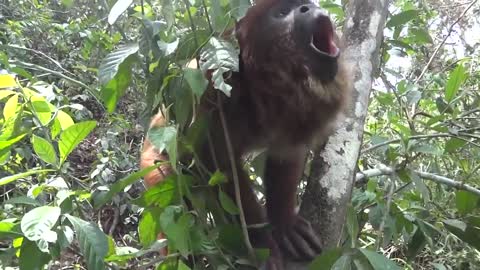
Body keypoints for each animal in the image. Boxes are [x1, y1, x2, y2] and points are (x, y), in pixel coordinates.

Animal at [139, 0, 348, 268]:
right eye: (281, 13)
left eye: (305, 4)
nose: (308, 7)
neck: (263, 88)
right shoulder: (213, 88)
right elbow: (218, 165)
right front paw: (263, 246)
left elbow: (287, 152)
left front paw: (285, 224)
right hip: (156, 167)